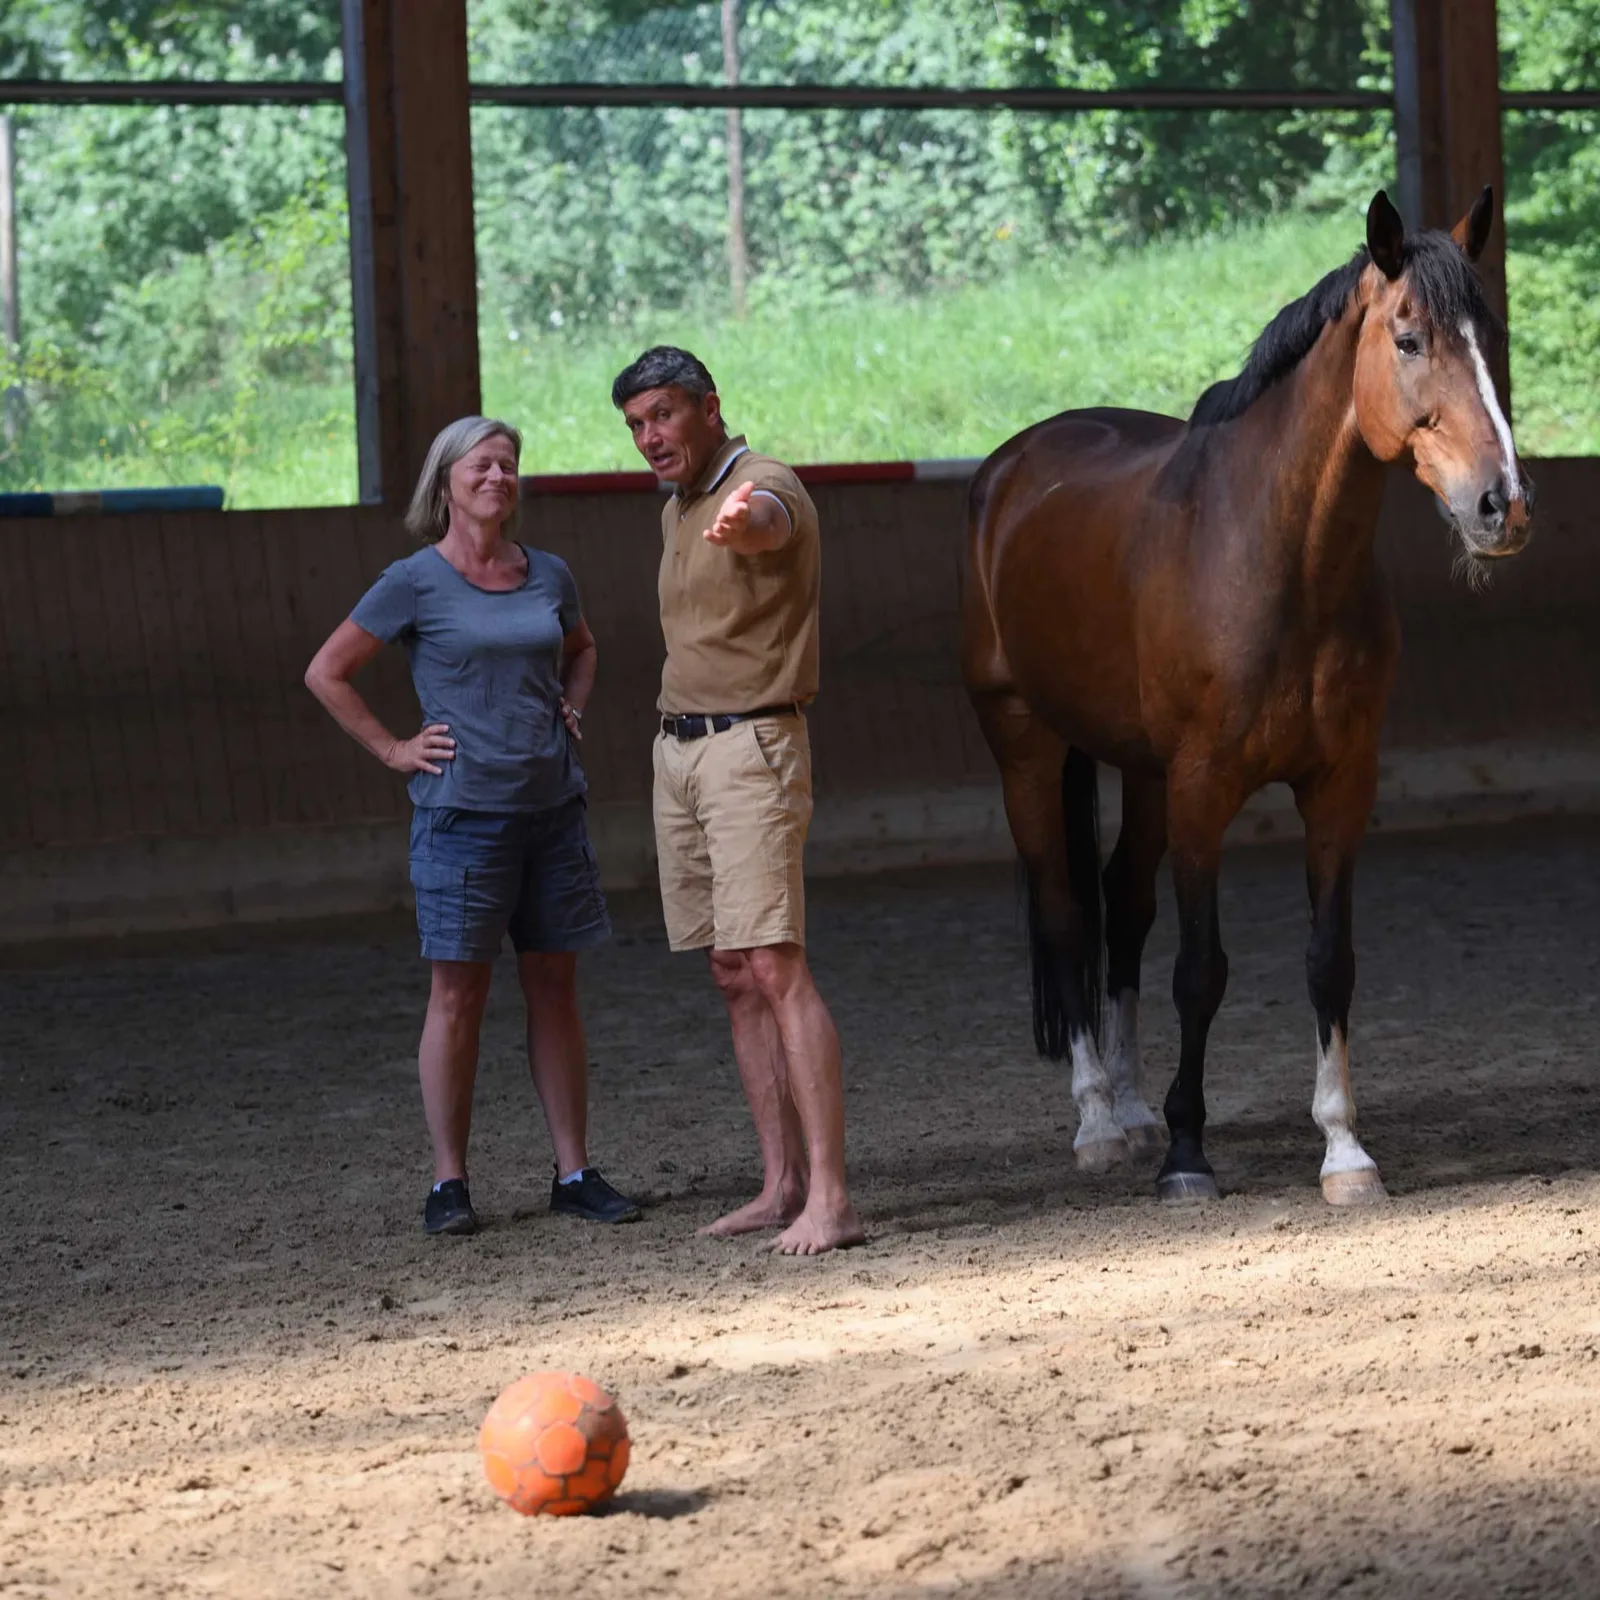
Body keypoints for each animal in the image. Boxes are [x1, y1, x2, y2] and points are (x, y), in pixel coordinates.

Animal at [962, 188, 1534, 1206]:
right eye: (1408, 338)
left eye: (1489, 337)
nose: (1500, 505)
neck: (1280, 558)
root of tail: (1009, 471)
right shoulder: (1204, 790)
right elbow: (1201, 969)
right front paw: (1190, 1156)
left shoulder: (1339, 787)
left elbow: (1328, 961)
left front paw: (1344, 1150)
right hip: (1027, 746)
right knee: (1066, 913)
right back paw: (1101, 1123)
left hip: (1141, 772)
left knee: (1122, 905)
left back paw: (1134, 1108)